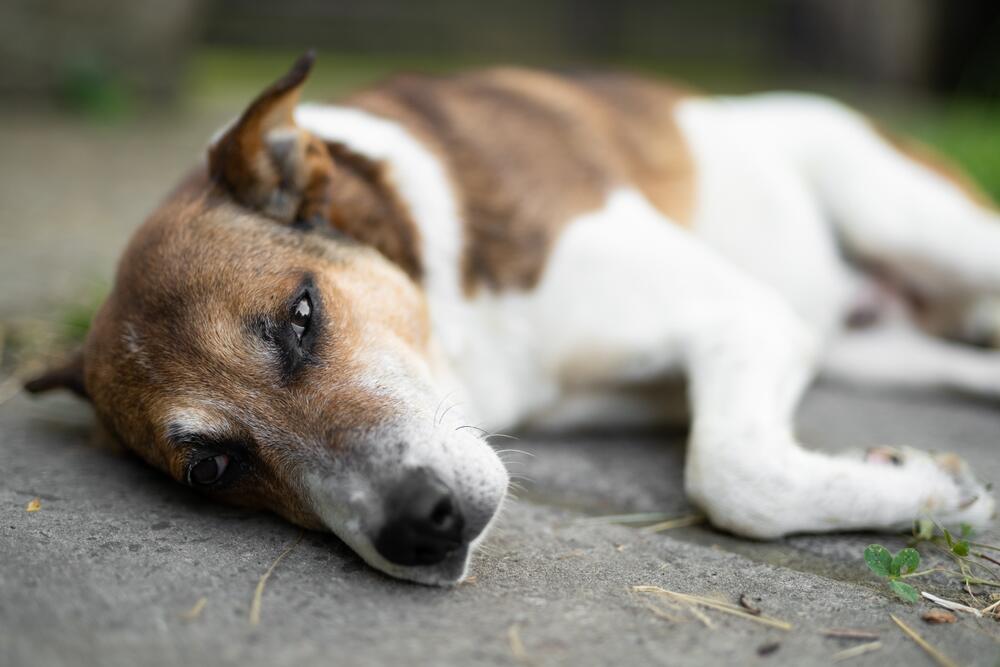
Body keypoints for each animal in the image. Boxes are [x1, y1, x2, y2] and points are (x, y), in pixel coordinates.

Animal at [23, 52, 1000, 584]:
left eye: (301, 315)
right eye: (213, 469)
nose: (420, 525)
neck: (461, 330)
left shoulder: (746, 312)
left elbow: (731, 474)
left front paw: (928, 489)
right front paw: (914, 481)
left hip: (913, 218)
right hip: (874, 349)